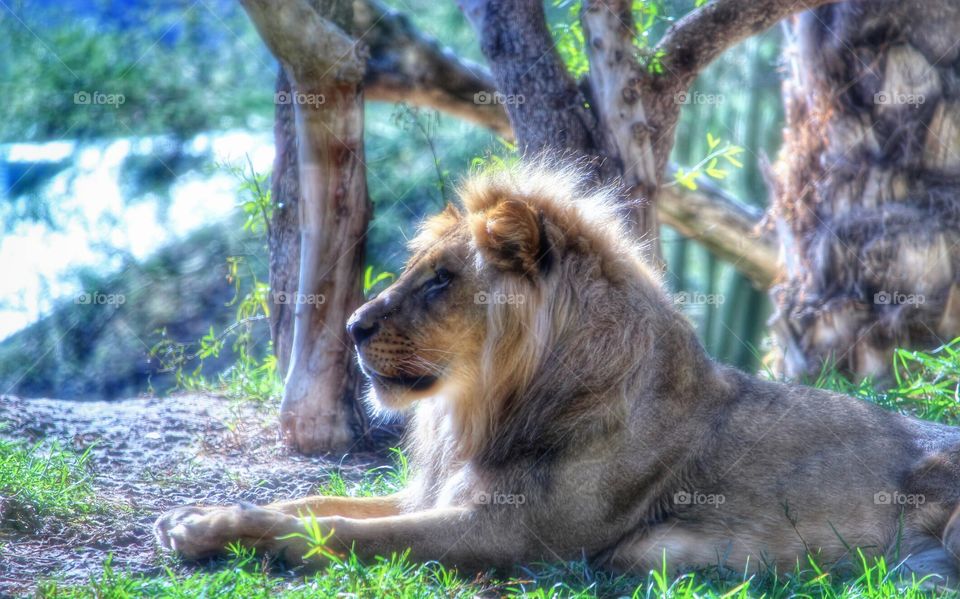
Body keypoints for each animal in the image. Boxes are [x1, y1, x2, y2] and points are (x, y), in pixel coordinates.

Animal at [156, 164, 960, 584]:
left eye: (441, 280)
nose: (352, 327)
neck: (483, 407)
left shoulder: (516, 536)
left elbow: (342, 532)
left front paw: (230, 534)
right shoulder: (445, 491)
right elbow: (314, 500)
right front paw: (197, 517)